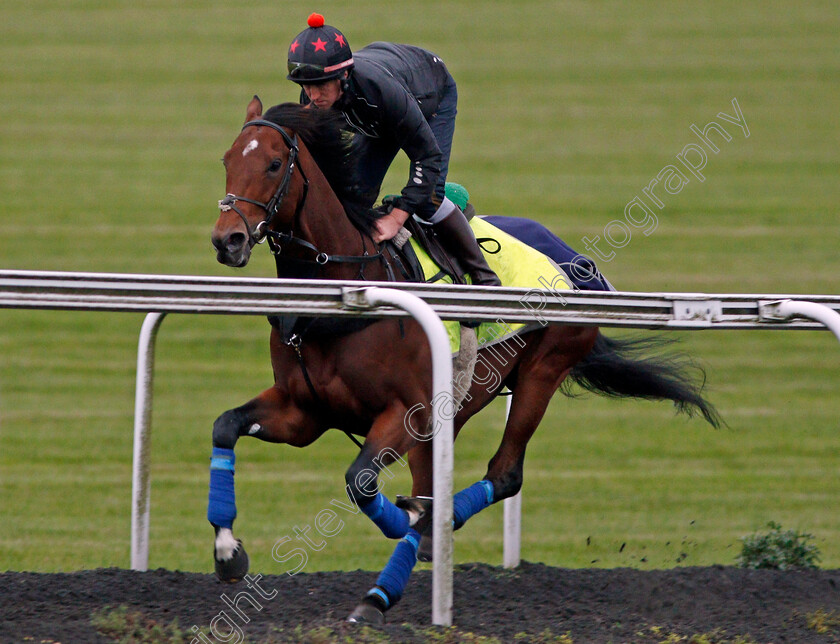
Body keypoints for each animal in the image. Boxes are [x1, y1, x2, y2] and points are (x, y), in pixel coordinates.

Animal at [210, 97, 720, 624]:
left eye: (273, 164)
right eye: (227, 160)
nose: (227, 240)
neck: (344, 295)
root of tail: (576, 260)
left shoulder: (406, 412)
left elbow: (361, 481)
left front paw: (410, 522)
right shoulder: (304, 412)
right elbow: (226, 425)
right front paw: (228, 552)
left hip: (540, 371)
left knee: (503, 473)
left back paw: (402, 563)